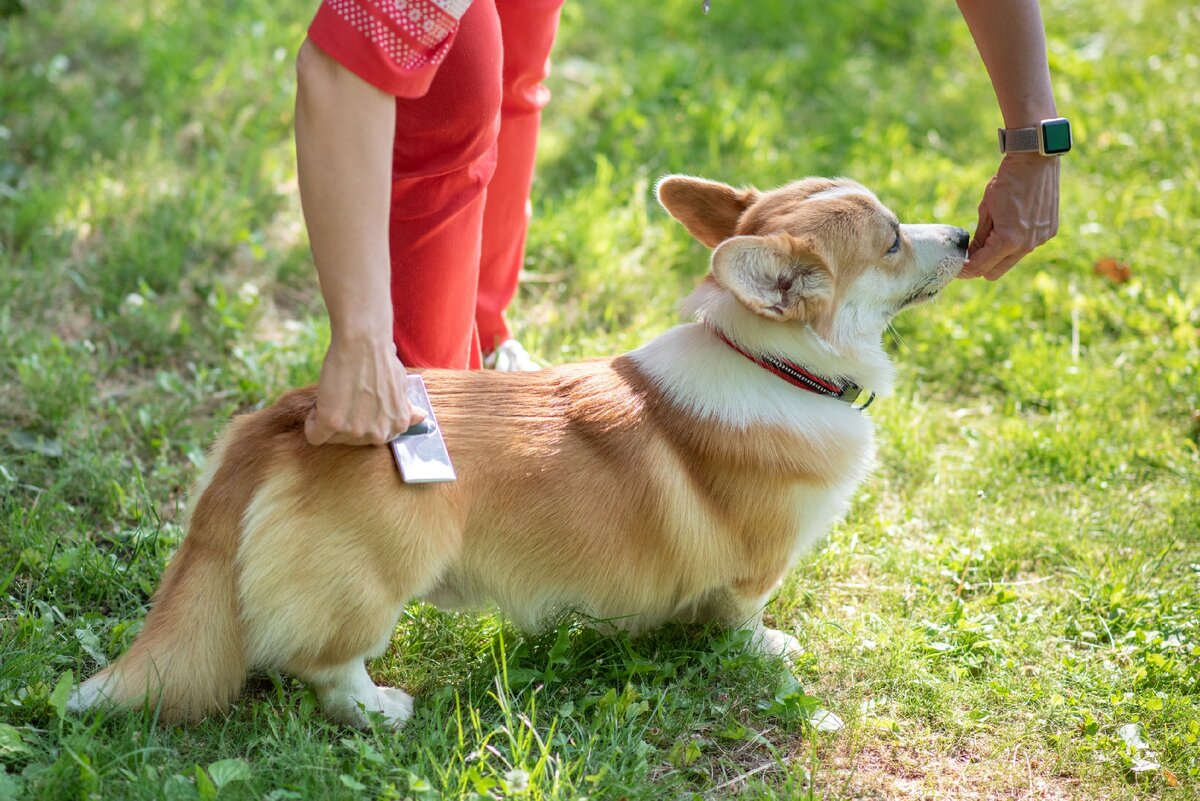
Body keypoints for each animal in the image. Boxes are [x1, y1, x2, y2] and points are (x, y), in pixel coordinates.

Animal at [65, 175, 969, 724]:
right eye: (892, 240)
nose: (965, 233)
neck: (770, 360)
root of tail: (285, 418)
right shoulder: (756, 563)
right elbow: (743, 614)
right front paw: (769, 647)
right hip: (379, 574)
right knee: (325, 662)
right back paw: (381, 708)